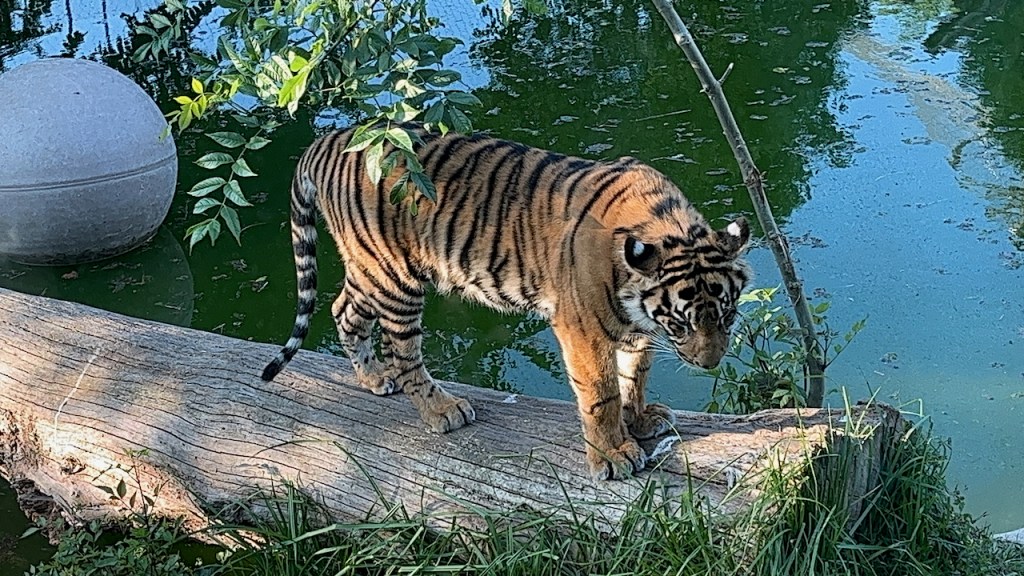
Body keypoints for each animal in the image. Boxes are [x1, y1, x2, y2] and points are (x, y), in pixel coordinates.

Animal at [261, 123, 752, 481]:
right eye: (682, 324)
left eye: (727, 315)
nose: (710, 363)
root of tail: (329, 140)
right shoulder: (581, 328)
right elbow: (602, 392)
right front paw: (612, 455)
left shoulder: (632, 328)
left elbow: (635, 376)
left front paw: (641, 420)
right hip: (394, 277)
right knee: (402, 351)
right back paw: (441, 409)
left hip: (370, 270)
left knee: (342, 309)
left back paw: (372, 377)